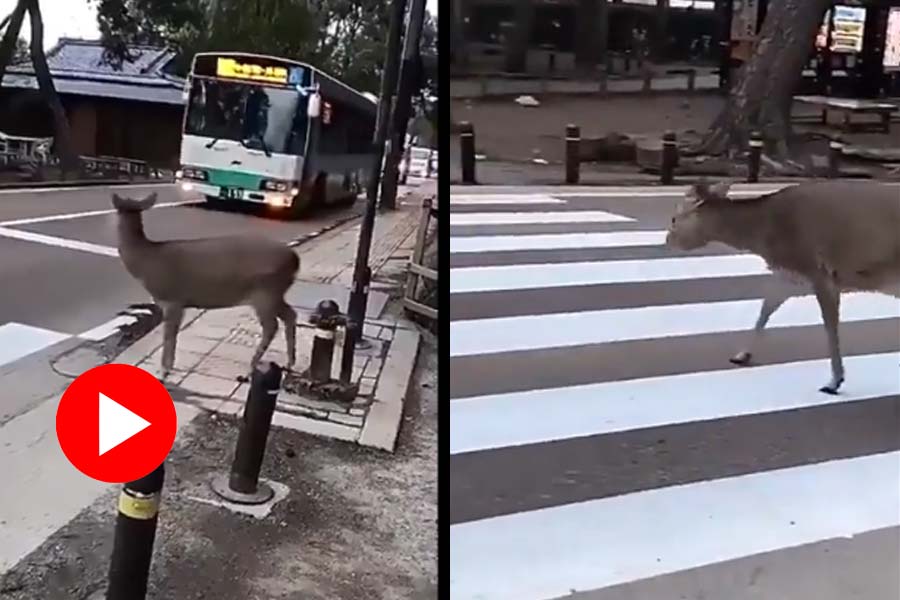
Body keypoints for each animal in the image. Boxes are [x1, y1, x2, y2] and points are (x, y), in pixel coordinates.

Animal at [110, 192, 300, 380]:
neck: (145, 261)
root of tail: (295, 260)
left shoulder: (172, 299)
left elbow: (169, 336)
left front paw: (164, 371)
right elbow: (173, 335)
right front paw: (168, 367)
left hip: (265, 292)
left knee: (271, 326)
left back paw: (252, 367)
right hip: (276, 292)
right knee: (290, 315)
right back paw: (289, 362)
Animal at [664, 178, 900, 394]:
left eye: (674, 218)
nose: (667, 240)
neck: (764, 237)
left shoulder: (819, 271)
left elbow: (830, 325)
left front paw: (834, 381)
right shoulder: (788, 275)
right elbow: (765, 309)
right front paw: (741, 355)